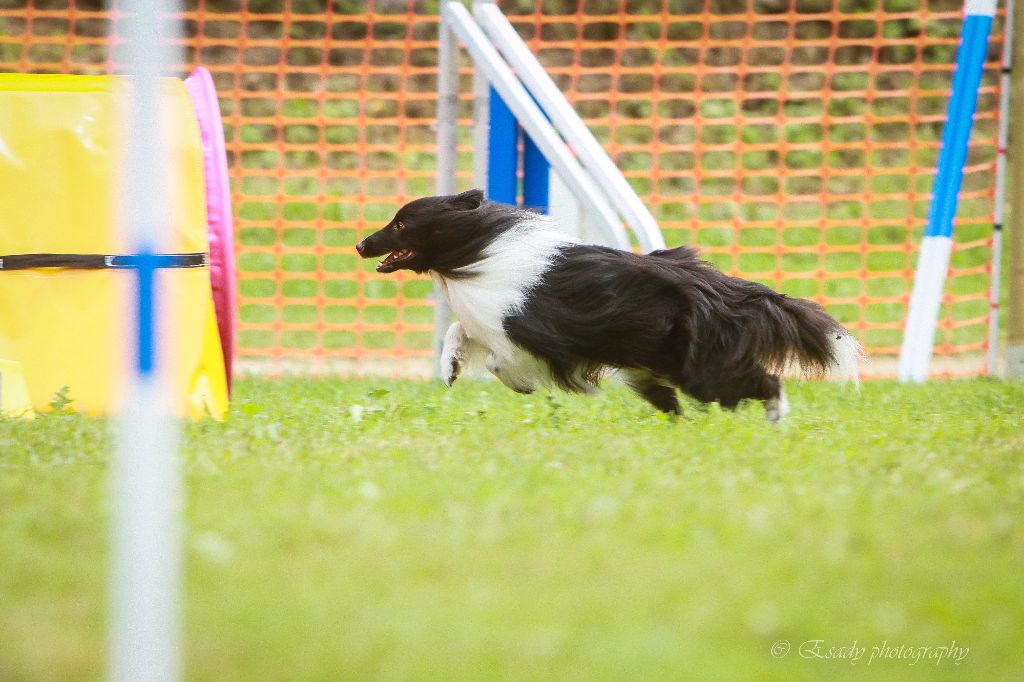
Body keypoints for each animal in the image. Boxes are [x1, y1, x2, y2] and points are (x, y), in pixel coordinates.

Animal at [356, 187, 860, 419]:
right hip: (658, 369)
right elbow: (459, 330)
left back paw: (776, 418)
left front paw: (525, 385)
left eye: (400, 224)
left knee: (766, 381)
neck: (478, 248)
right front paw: (449, 368)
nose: (361, 245)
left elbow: (501, 359)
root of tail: (731, 291)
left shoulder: (530, 332)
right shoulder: (489, 318)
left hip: (702, 372)